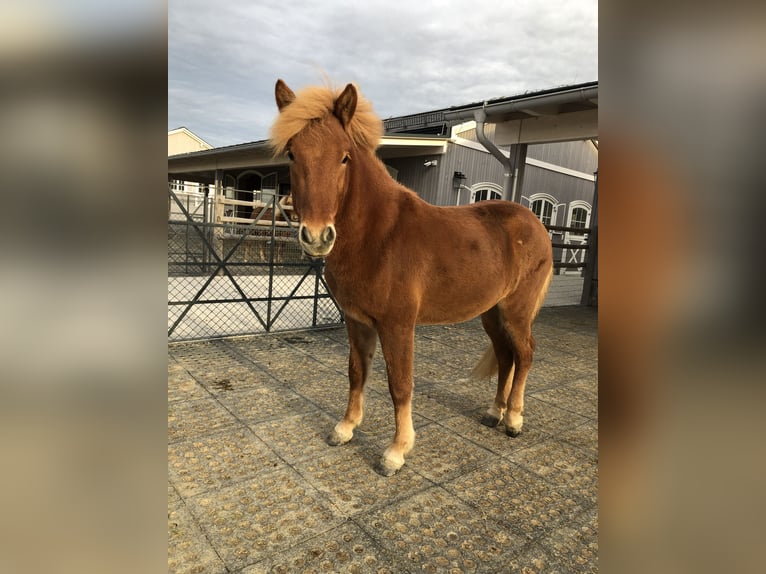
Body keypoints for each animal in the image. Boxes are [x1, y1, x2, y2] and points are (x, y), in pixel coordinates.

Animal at [270, 79, 553, 476]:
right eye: (293, 154)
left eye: (344, 157)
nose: (316, 236)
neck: (378, 236)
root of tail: (536, 225)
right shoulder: (357, 322)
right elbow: (356, 372)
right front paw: (345, 428)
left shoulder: (398, 324)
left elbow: (399, 384)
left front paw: (396, 451)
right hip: (492, 313)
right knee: (506, 355)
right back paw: (494, 413)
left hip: (516, 311)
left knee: (525, 354)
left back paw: (513, 419)